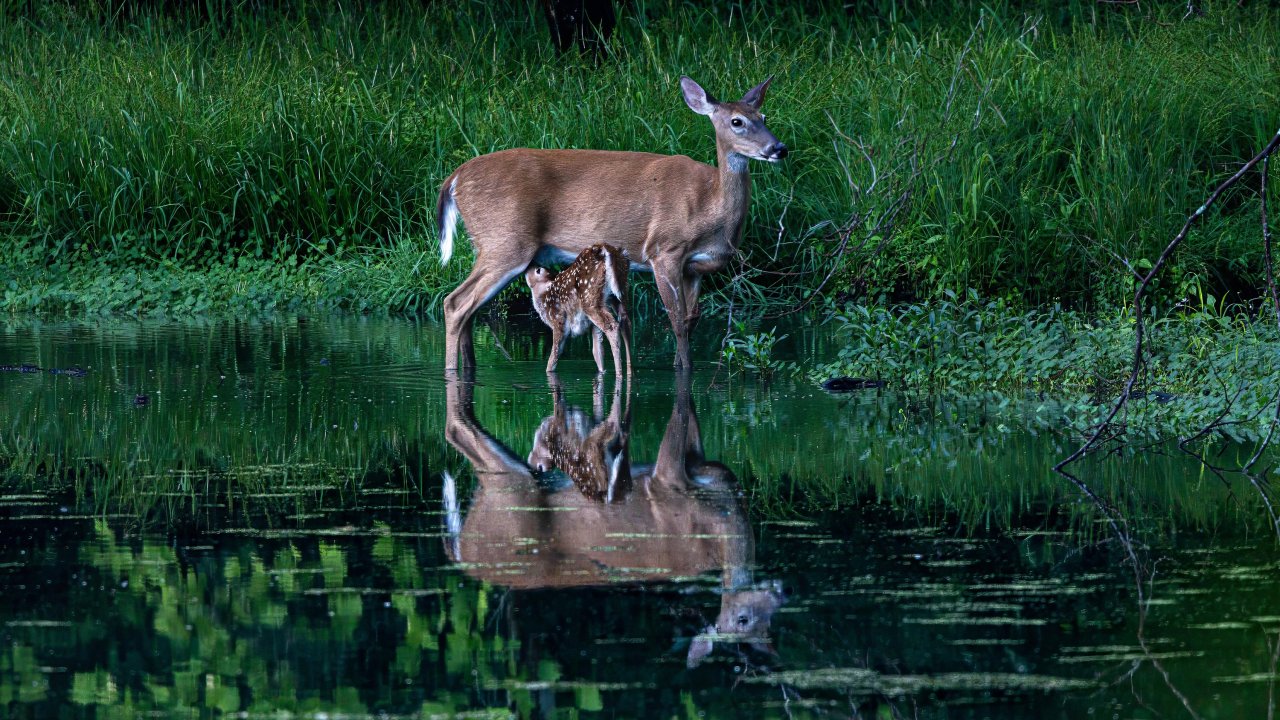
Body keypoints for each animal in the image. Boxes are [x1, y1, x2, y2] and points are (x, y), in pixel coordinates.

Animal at [440, 372, 786, 667]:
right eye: (741, 618)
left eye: (770, 620)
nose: (781, 592)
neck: (720, 521)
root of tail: (461, 554)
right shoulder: (665, 478)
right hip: (513, 496)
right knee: (457, 432)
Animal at [526, 243, 632, 376]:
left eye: (538, 270)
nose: (530, 263)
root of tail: (604, 248)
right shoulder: (591, 325)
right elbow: (597, 350)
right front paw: (602, 371)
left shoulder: (558, 320)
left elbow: (554, 354)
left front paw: (548, 372)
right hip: (620, 292)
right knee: (625, 322)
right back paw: (629, 371)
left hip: (589, 298)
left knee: (612, 326)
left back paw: (619, 373)